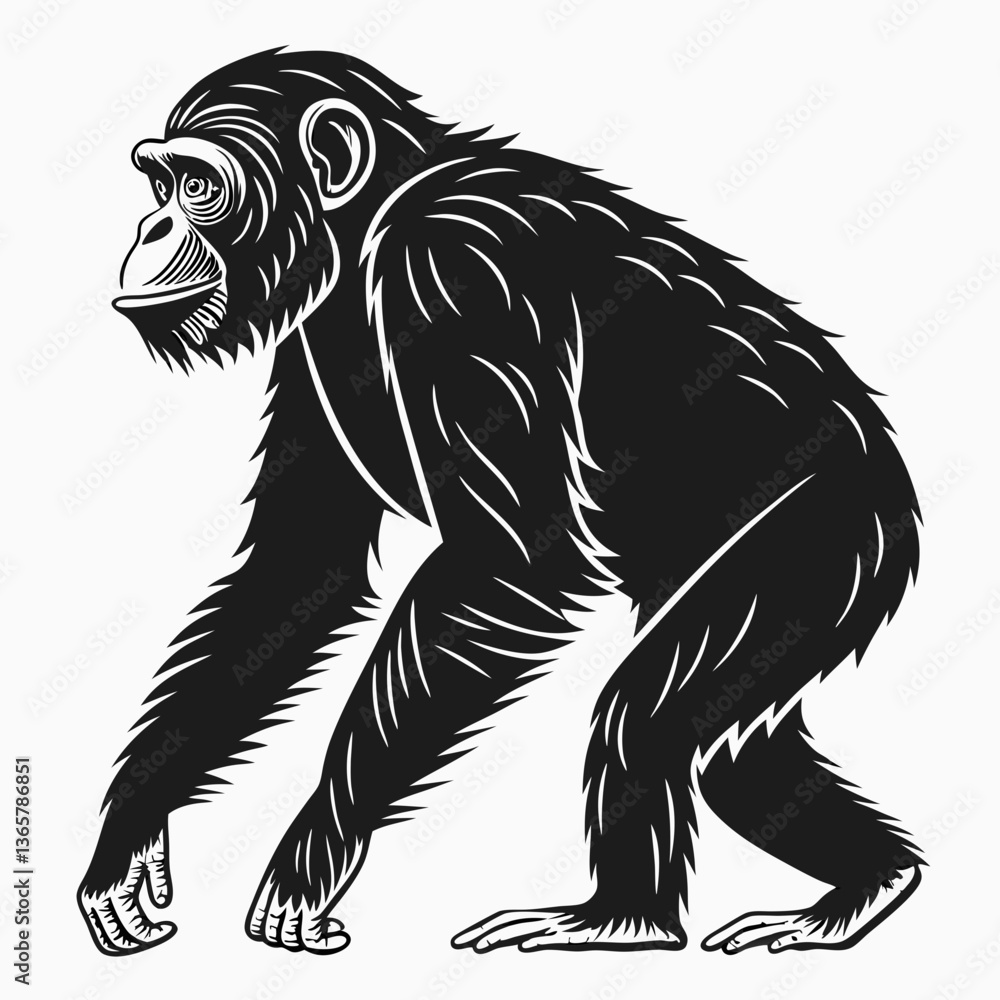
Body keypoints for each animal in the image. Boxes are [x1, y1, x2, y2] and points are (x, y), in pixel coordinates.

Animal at [78, 47, 923, 957]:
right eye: (157, 183)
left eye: (197, 185)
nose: (149, 230)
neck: (365, 228)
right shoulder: (306, 348)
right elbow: (299, 573)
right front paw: (129, 833)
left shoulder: (460, 281)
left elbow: (517, 560)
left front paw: (315, 852)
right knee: (737, 752)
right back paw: (870, 883)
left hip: (827, 537)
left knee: (646, 721)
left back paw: (623, 919)